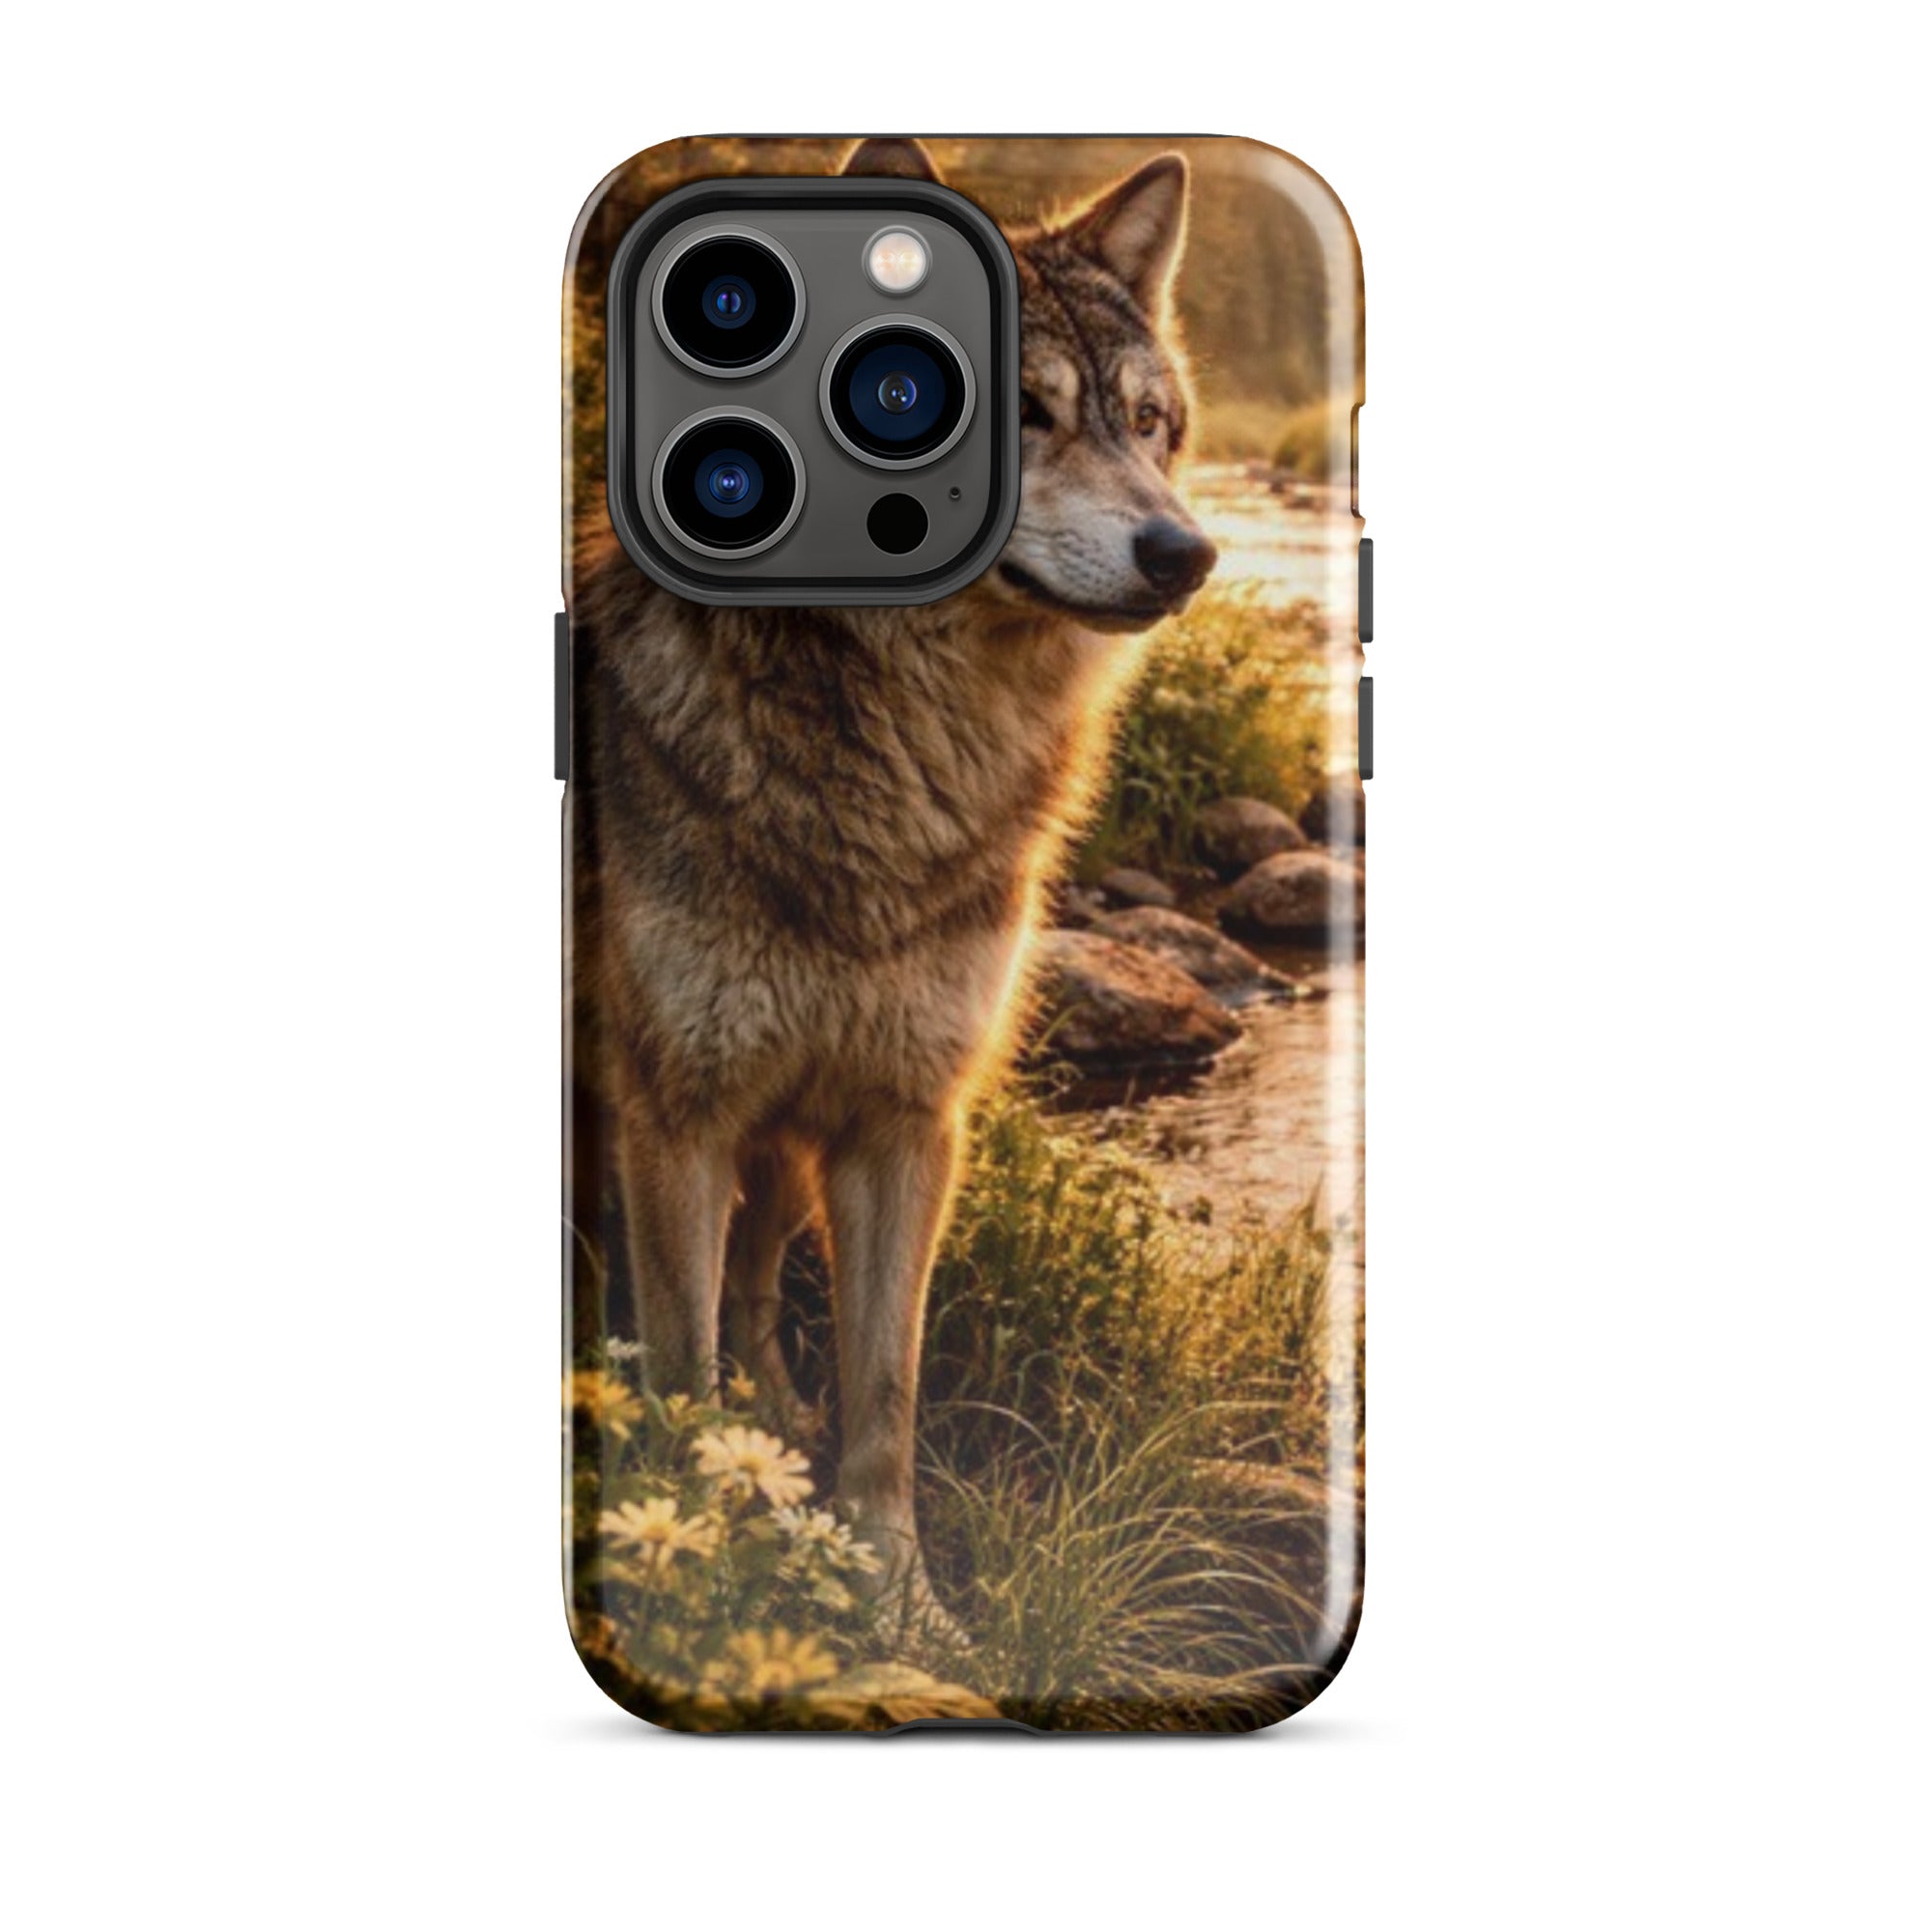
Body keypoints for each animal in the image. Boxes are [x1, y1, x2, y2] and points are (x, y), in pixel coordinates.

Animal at [569, 137, 1217, 1620]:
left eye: (1148, 423)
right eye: (1018, 413)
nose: (1186, 553)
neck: (900, 781)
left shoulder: (906, 1120)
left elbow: (885, 1395)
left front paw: (898, 1602)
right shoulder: (675, 1116)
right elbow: (678, 1367)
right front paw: (696, 1580)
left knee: (761, 1302)